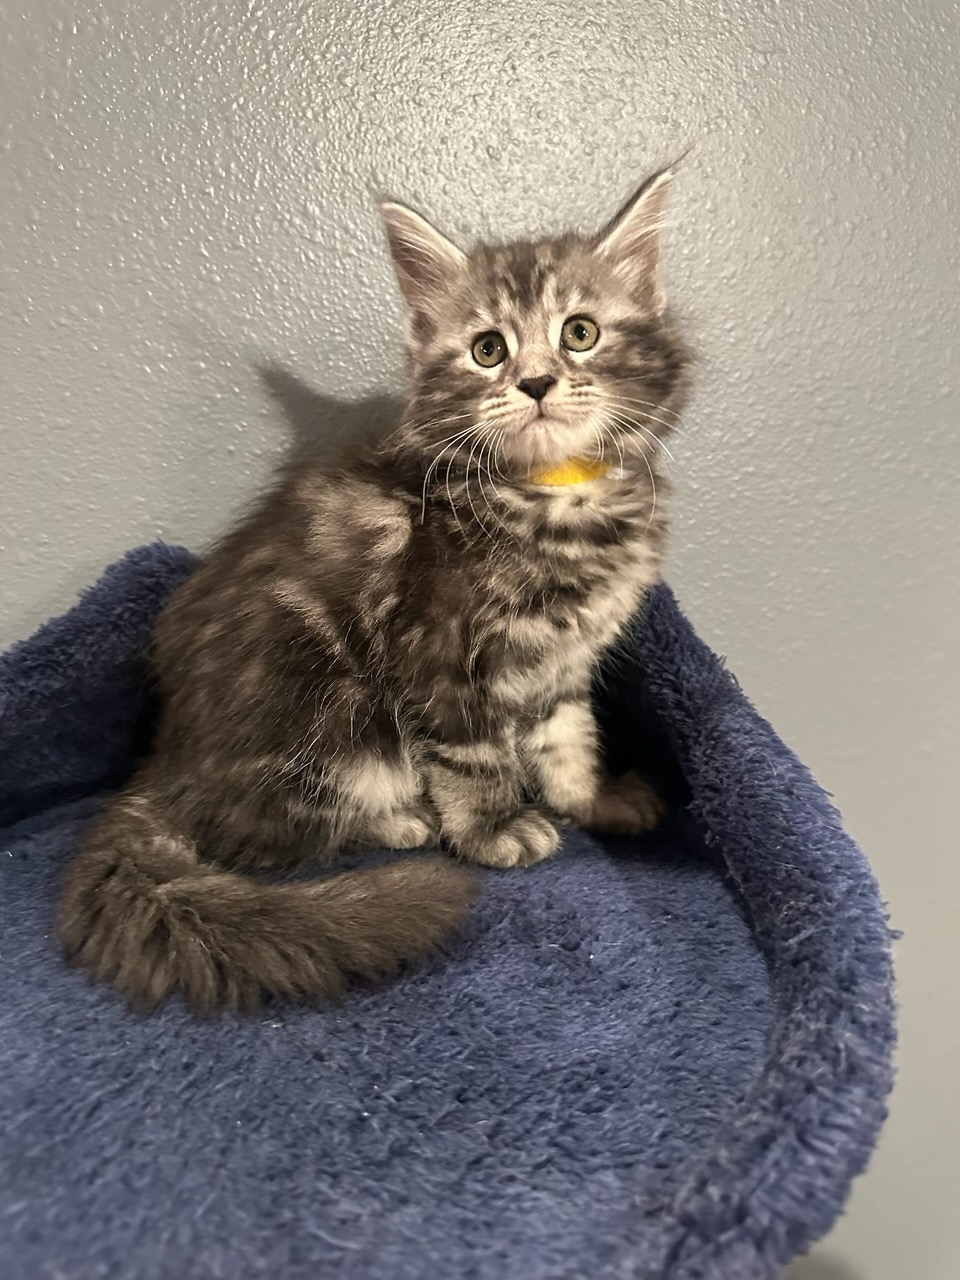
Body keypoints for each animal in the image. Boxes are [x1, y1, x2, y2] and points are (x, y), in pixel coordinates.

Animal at [58, 167, 691, 1008]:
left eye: (579, 332)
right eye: (487, 349)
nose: (535, 382)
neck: (555, 497)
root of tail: (166, 764)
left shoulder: (562, 660)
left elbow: (566, 738)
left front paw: (594, 799)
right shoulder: (434, 651)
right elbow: (475, 756)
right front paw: (493, 829)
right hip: (329, 708)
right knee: (259, 830)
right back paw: (400, 821)